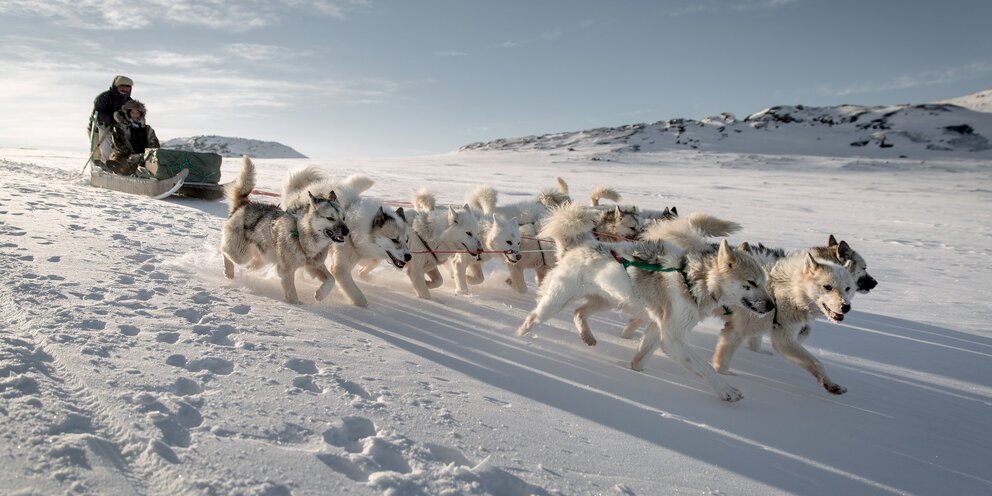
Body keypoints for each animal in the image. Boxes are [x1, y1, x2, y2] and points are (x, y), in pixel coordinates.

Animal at [222, 157, 348, 304]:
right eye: (330, 218)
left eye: (343, 218)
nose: (346, 231)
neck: (302, 235)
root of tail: (244, 205)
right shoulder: (286, 270)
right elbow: (292, 293)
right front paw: (297, 304)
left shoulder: (314, 265)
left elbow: (331, 279)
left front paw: (321, 294)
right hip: (241, 255)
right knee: (223, 251)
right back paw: (229, 271)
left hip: (262, 259)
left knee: (248, 267)